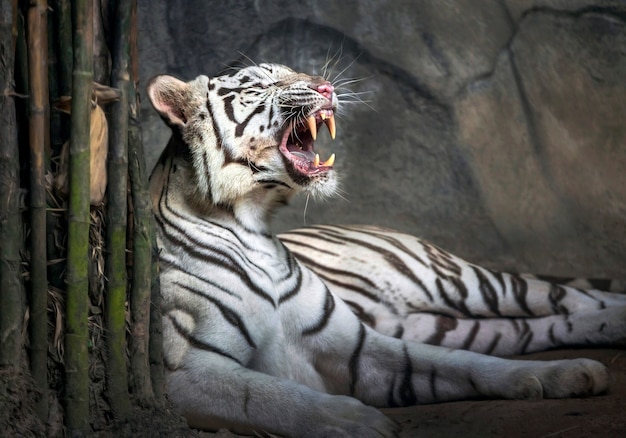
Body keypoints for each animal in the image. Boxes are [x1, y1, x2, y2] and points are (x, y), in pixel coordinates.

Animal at [147, 62, 624, 438]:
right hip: (455, 320)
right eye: (261, 83)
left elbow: (462, 362)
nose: (326, 87)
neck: (253, 226)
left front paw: (557, 373)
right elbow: (273, 396)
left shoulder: (354, 343)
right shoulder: (187, 372)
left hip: (462, 281)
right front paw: (355, 421)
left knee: (571, 296)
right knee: (546, 322)